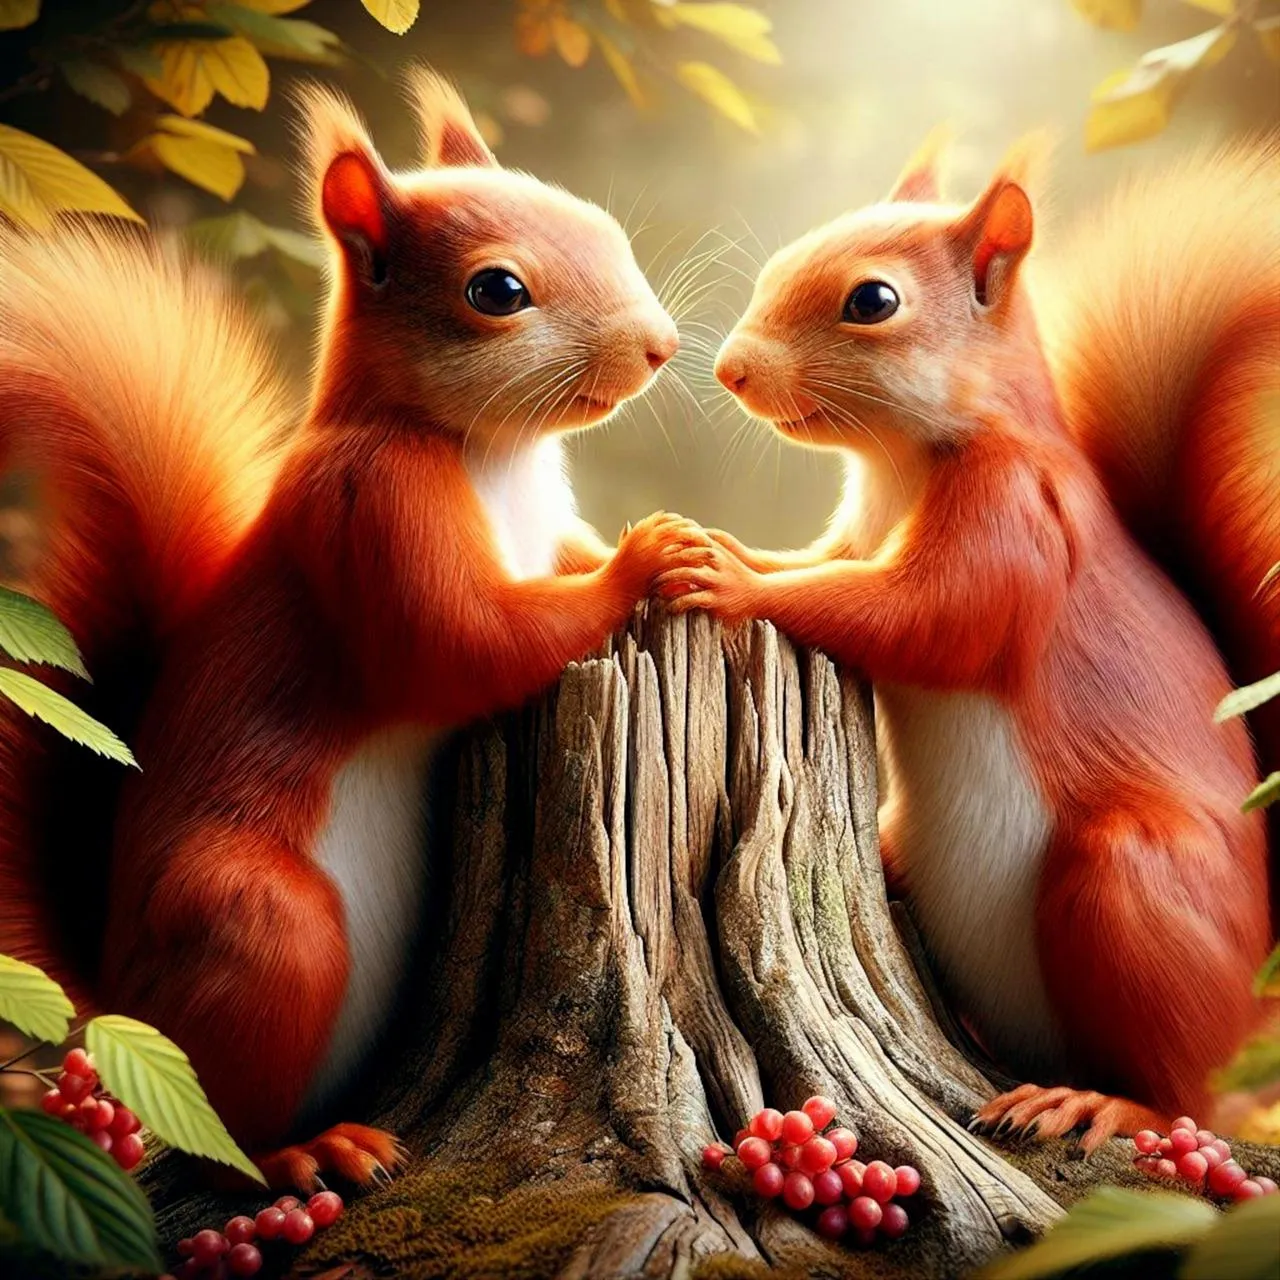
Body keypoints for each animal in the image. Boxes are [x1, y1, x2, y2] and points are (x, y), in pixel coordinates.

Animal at [0, 69, 707, 1187]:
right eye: (495, 292)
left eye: (602, 225)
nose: (658, 346)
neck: (491, 450)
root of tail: (122, 990)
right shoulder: (370, 509)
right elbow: (464, 641)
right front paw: (645, 556)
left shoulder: (542, 530)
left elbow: (559, 567)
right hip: (256, 933)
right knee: (221, 1129)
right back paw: (302, 1150)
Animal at [658, 137, 1278, 1148]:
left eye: (873, 301)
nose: (734, 371)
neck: (902, 461)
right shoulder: (853, 536)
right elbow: (818, 567)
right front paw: (704, 542)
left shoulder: (1013, 520)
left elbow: (915, 618)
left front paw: (731, 579)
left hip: (1131, 889)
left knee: (1184, 1090)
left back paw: (1098, 1099)